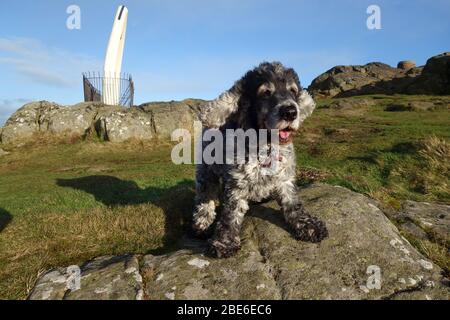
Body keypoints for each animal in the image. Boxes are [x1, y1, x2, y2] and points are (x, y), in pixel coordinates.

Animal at [192, 62, 326, 258]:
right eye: (266, 92)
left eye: (293, 91)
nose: (290, 112)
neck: (266, 146)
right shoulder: (237, 184)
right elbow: (231, 214)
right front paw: (224, 242)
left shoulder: (285, 179)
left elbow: (293, 204)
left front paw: (309, 226)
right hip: (206, 171)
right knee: (205, 196)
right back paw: (202, 223)